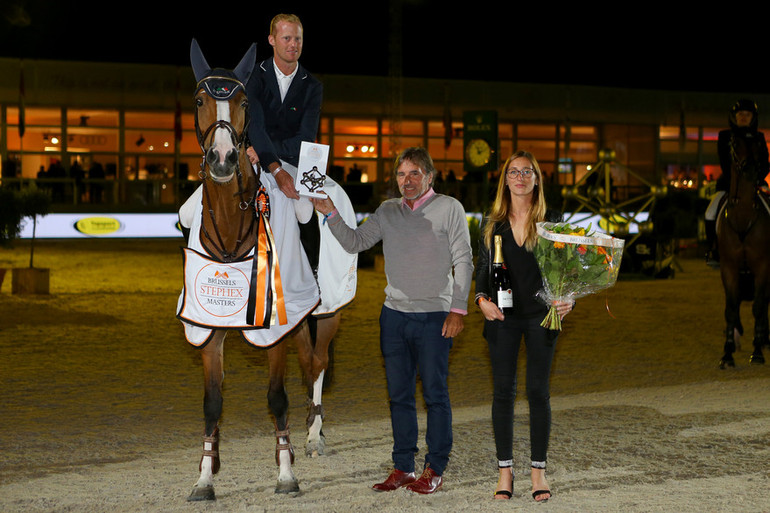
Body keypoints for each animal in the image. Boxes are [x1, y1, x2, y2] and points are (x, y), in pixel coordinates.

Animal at [178, 40, 344, 500]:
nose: (222, 159)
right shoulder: (208, 324)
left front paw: (286, 473)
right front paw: (204, 475)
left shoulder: (275, 330)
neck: (233, 226)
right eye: (199, 100)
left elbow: (276, 397)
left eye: (244, 102)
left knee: (318, 364)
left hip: (326, 311)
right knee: (311, 363)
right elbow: (212, 402)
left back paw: (314, 435)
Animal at [712, 146, 768, 366]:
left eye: (760, 148)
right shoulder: (729, 268)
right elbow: (731, 308)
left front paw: (758, 351)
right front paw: (727, 353)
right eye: (733, 145)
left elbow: (758, 307)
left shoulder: (761, 268)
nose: (750, 170)